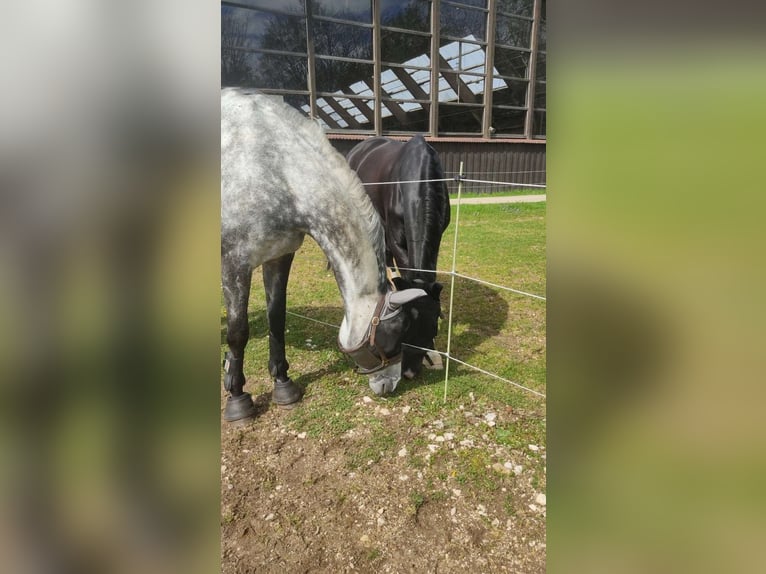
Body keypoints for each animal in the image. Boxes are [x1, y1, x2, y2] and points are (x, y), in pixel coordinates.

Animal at [220, 89, 435, 422]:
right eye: (396, 334)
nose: (390, 384)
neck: (272, 168)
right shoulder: (234, 264)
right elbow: (238, 332)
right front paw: (237, 398)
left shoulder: (279, 256)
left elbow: (276, 318)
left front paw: (283, 384)